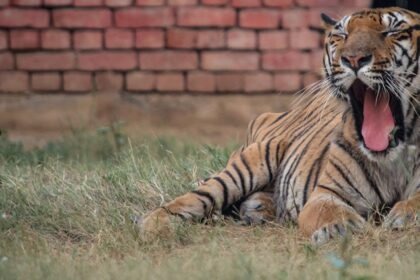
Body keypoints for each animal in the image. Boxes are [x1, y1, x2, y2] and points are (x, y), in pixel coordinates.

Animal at [138, 7, 420, 244]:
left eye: (391, 32)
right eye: (342, 35)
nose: (353, 59)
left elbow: (415, 200)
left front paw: (403, 216)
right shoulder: (326, 193)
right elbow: (328, 212)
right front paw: (339, 230)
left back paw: (258, 207)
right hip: (251, 163)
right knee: (197, 196)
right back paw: (152, 225)